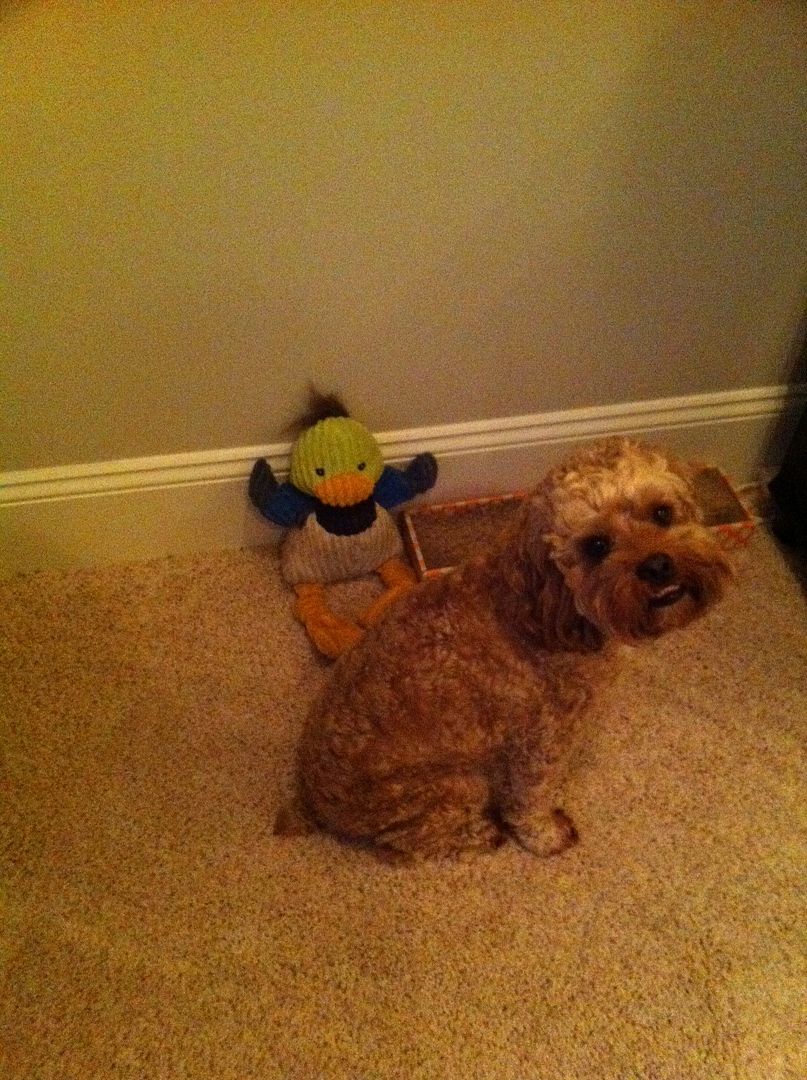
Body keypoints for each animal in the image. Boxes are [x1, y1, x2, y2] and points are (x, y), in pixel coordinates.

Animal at [274, 434, 734, 864]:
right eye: (597, 546)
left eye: (662, 513)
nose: (657, 566)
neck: (546, 610)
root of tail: (311, 801)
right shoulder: (539, 741)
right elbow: (530, 801)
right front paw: (545, 837)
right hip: (453, 786)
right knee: (407, 843)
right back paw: (479, 836)